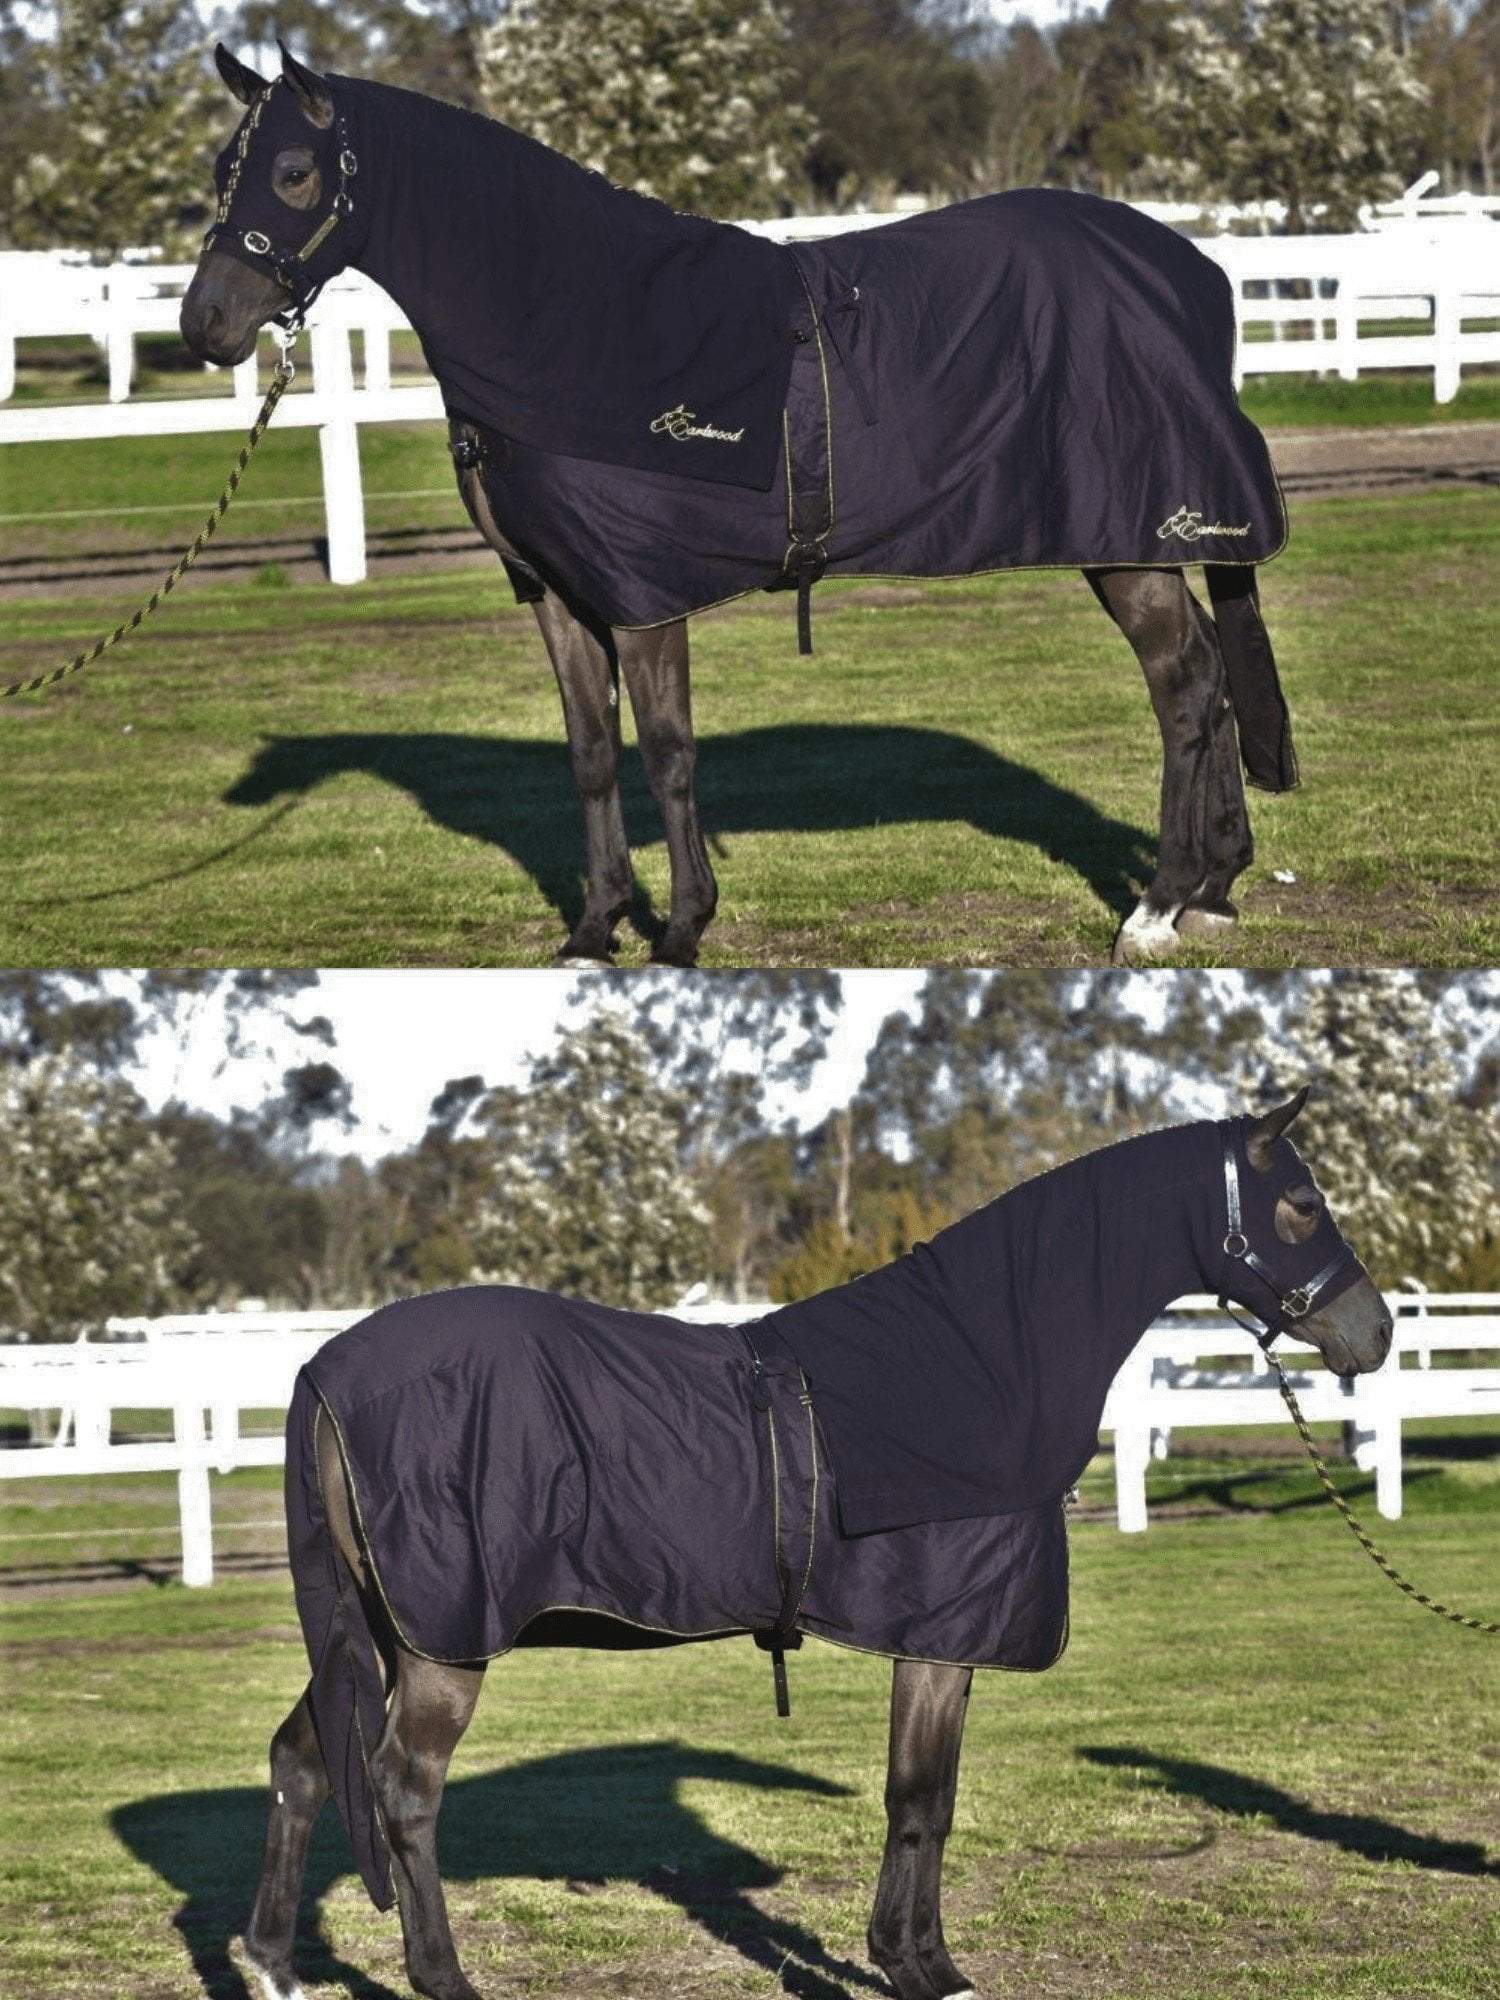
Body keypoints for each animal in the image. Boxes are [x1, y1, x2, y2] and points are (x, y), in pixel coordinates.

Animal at [179, 50, 1304, 972]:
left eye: (294, 172)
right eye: (221, 167)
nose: (207, 325)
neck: (579, 322)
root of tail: (1190, 276)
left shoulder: (642, 599)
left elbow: (669, 752)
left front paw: (682, 929)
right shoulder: (557, 594)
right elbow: (593, 754)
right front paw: (594, 930)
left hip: (1134, 540)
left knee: (1183, 685)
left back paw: (1153, 909)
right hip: (1135, 538)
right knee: (1211, 673)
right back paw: (1213, 887)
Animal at [241, 1096, 1392, 2000]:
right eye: (1299, 1203)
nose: (1374, 1334)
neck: (974, 1355)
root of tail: (324, 1369)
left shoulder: (946, 1643)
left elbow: (932, 1799)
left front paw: (916, 1958)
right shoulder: (936, 1639)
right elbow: (918, 1799)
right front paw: (921, 1969)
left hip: (376, 1629)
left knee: (304, 1759)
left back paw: (274, 1964)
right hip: (441, 1643)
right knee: (401, 1789)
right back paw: (443, 1976)